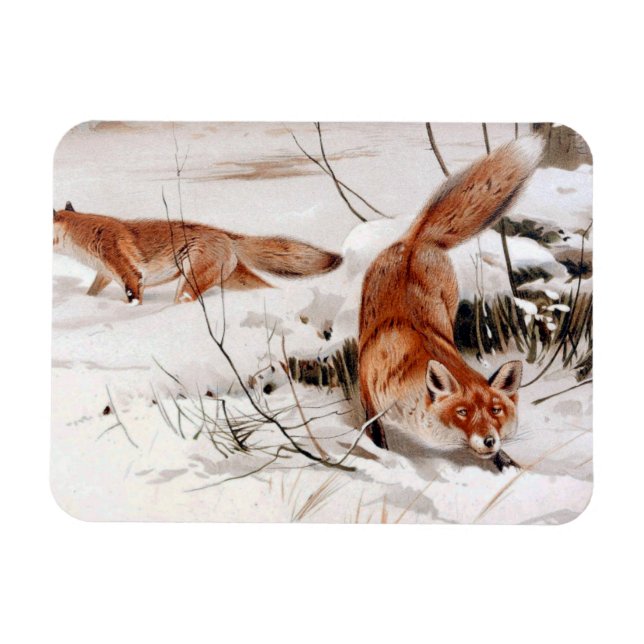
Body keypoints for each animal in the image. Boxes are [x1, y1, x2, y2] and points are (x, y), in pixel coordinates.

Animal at [53, 202, 342, 304]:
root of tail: (226, 234)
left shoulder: (132, 277)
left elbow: (133, 301)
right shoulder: (104, 275)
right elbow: (90, 293)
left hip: (188, 285)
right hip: (234, 281)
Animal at [358, 136, 545, 470]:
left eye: (496, 410)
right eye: (463, 413)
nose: (489, 440)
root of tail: (415, 240)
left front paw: (508, 465)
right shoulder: (369, 393)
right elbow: (374, 433)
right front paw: (384, 457)